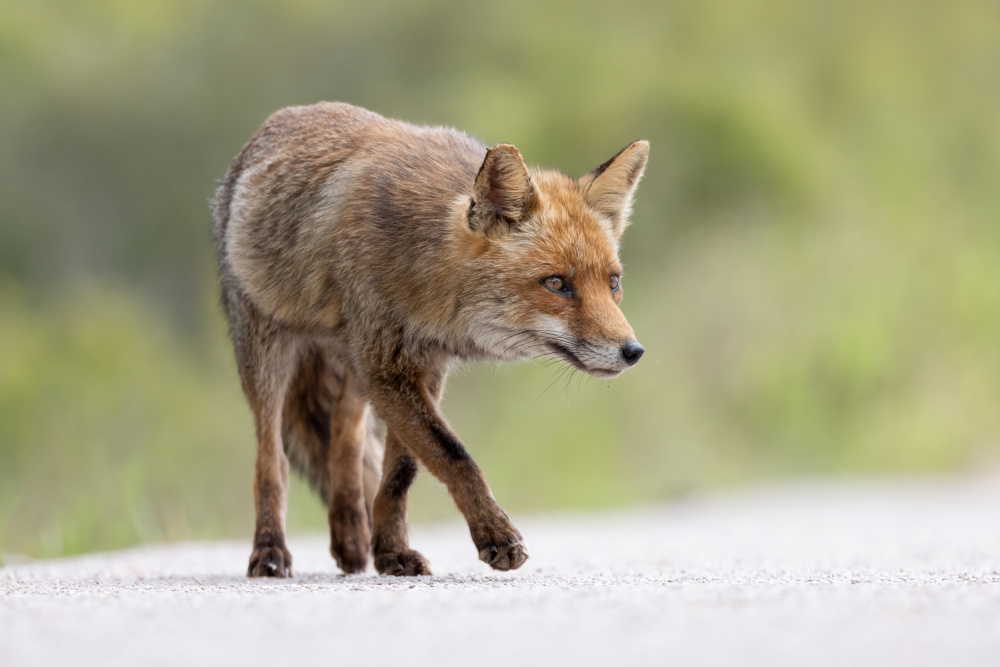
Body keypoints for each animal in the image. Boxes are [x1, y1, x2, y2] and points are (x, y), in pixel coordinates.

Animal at [211, 102, 648, 577]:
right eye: (556, 283)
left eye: (613, 283)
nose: (633, 352)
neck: (423, 267)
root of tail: (277, 121)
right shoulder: (388, 371)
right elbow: (455, 456)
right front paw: (496, 536)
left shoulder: (424, 366)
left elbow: (401, 472)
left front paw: (391, 551)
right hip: (269, 357)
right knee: (271, 461)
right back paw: (270, 551)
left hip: (353, 364)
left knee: (345, 437)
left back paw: (352, 538)